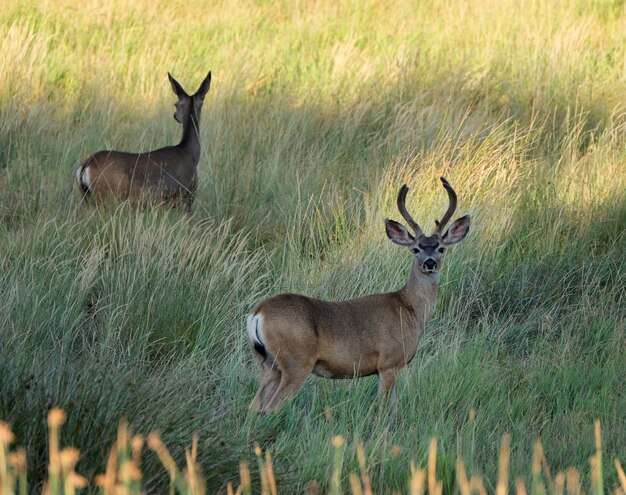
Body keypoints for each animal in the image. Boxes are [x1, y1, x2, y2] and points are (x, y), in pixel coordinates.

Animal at [74, 70, 211, 213]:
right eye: (176, 104)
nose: (175, 116)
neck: (189, 152)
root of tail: (86, 165)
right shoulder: (186, 197)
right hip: (107, 197)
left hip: (87, 197)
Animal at [244, 176, 468, 412]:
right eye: (415, 248)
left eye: (441, 248)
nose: (429, 262)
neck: (410, 309)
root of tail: (258, 313)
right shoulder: (388, 362)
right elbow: (384, 409)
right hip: (296, 363)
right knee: (270, 408)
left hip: (268, 365)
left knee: (254, 407)